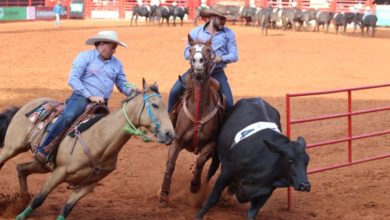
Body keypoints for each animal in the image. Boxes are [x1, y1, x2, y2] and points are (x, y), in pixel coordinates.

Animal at [0, 79, 174, 220]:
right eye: (155, 105)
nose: (170, 134)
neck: (99, 139)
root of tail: (30, 104)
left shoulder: (87, 185)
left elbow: (66, 209)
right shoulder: (59, 172)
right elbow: (39, 198)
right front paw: (20, 216)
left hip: (42, 165)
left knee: (21, 168)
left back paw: (21, 200)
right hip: (12, 148)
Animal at [158, 34, 225, 205]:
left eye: (208, 50)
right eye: (190, 50)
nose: (198, 62)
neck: (198, 113)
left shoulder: (211, 144)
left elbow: (200, 161)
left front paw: (194, 186)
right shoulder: (177, 141)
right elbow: (170, 164)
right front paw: (164, 193)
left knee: (211, 169)